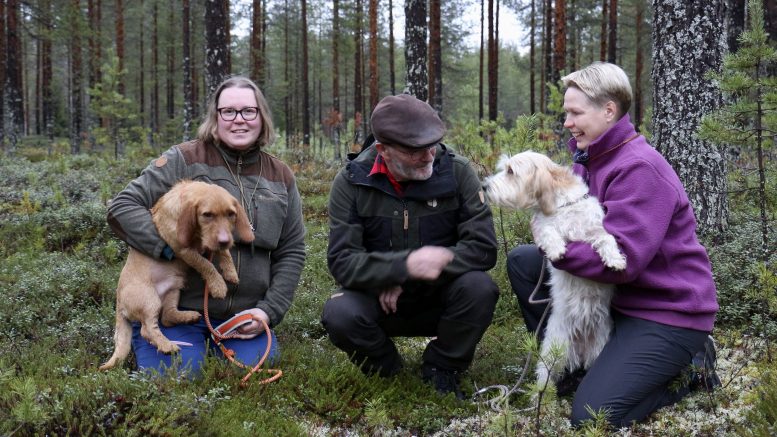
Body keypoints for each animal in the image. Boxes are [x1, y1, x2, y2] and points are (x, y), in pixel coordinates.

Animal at [98, 179, 253, 370]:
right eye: (207, 215)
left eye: (231, 214)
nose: (224, 240)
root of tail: (119, 302)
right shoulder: (183, 249)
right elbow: (206, 264)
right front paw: (218, 285)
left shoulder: (211, 243)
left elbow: (223, 252)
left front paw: (230, 271)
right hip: (150, 300)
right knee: (147, 329)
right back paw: (167, 346)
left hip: (174, 290)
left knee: (167, 317)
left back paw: (188, 317)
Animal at [484, 152, 624, 386]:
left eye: (511, 171)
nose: (484, 186)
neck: (563, 206)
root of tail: (580, 344)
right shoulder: (543, 226)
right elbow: (549, 232)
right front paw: (557, 249)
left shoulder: (594, 229)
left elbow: (607, 238)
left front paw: (616, 260)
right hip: (552, 353)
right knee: (544, 380)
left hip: (598, 349)